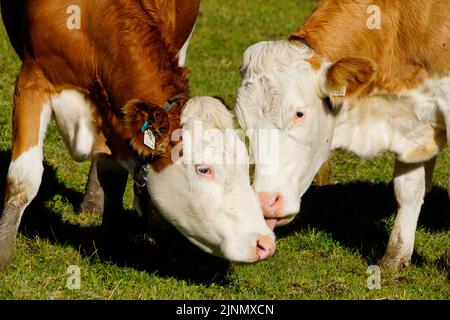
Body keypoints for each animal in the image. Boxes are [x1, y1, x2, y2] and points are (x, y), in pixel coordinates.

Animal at [0, 0, 274, 268]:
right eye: (203, 169)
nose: (265, 243)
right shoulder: (33, 80)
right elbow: (23, 179)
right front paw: (3, 254)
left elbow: (113, 180)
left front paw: (111, 241)